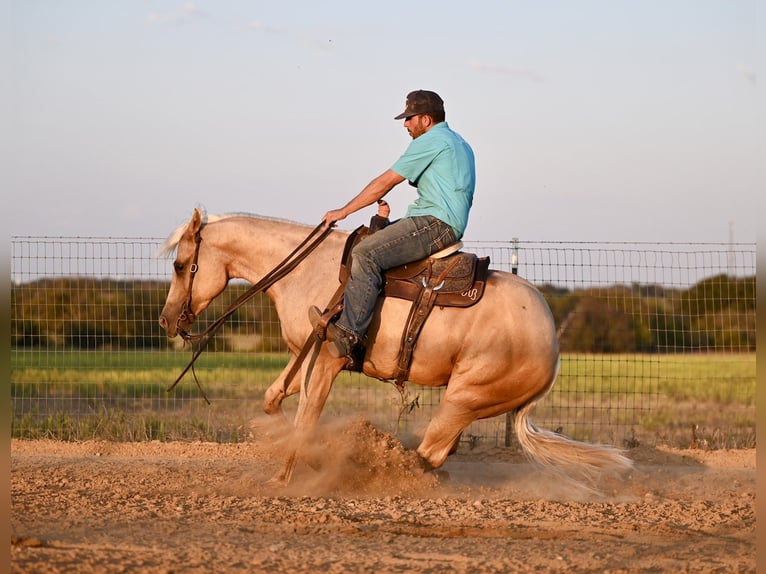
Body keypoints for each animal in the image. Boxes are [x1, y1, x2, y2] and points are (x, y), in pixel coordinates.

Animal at [159, 209, 632, 484]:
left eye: (181, 265)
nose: (166, 320)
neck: (308, 271)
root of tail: (552, 342)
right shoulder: (304, 354)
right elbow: (274, 399)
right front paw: (305, 462)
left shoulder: (326, 358)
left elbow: (306, 418)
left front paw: (286, 478)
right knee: (435, 454)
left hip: (464, 398)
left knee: (429, 453)